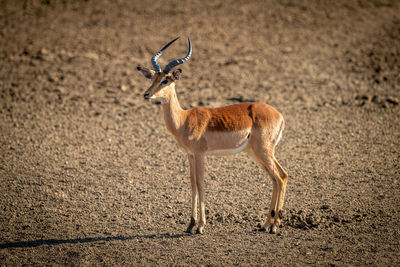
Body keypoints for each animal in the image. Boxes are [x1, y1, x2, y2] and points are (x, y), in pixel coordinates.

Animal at [138, 37, 288, 234]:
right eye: (153, 78)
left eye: (165, 80)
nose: (147, 94)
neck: (184, 119)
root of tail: (279, 115)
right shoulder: (190, 155)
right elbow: (192, 184)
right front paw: (190, 224)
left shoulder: (200, 154)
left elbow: (201, 184)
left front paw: (201, 226)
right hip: (258, 153)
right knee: (278, 177)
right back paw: (265, 225)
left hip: (263, 151)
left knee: (280, 178)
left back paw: (275, 226)